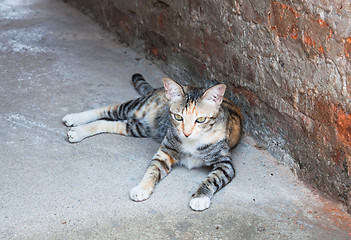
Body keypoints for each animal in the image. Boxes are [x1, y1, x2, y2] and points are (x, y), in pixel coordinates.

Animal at [62, 74, 242, 211]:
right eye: (178, 117)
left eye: (201, 119)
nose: (186, 133)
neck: (191, 143)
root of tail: (159, 89)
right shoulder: (166, 152)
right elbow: (152, 170)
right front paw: (142, 188)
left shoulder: (225, 163)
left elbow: (212, 179)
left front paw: (200, 198)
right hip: (136, 107)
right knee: (107, 109)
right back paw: (75, 118)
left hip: (139, 127)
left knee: (111, 123)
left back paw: (78, 131)